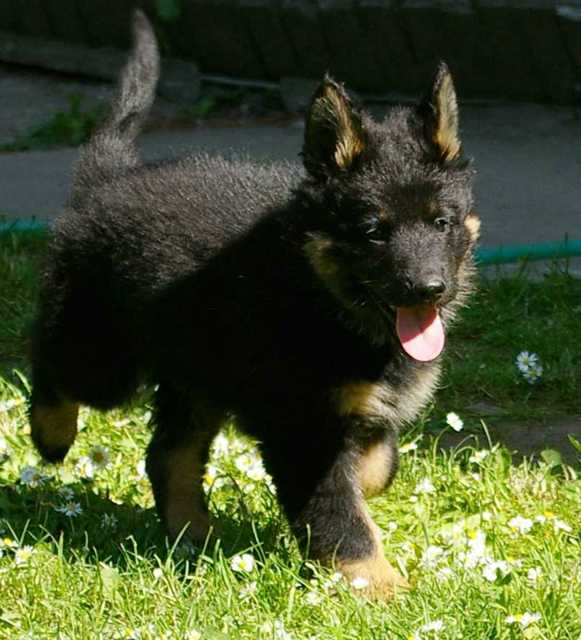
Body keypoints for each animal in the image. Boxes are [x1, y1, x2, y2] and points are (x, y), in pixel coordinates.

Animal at [29, 10, 479, 598]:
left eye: (441, 222)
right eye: (372, 232)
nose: (430, 288)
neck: (320, 297)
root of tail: (106, 179)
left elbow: (378, 465)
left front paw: (367, 480)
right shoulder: (303, 428)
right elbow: (344, 518)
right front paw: (381, 588)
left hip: (198, 375)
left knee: (167, 454)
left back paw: (194, 536)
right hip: (106, 357)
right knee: (50, 361)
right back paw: (52, 435)